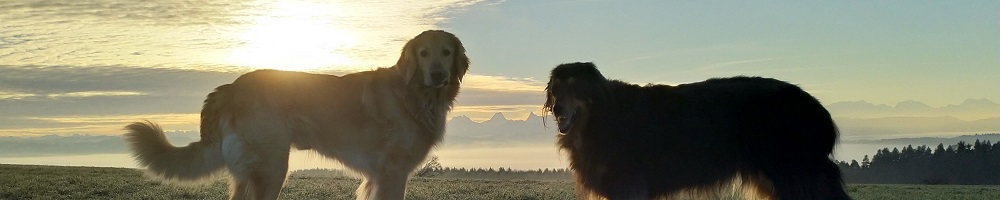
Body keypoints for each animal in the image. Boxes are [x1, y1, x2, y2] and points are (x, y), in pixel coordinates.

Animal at [124, 30, 468, 200]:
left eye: (446, 52)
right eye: (423, 53)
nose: (438, 74)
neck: (415, 95)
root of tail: (231, 87)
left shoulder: (378, 177)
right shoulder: (392, 173)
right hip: (272, 167)